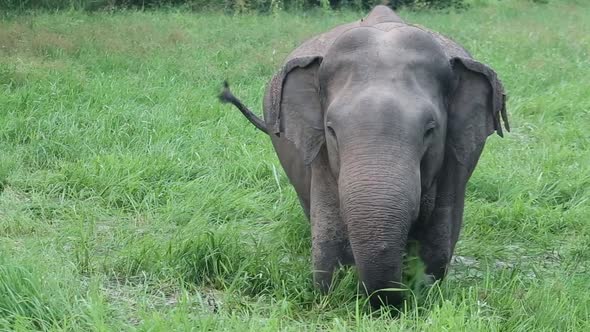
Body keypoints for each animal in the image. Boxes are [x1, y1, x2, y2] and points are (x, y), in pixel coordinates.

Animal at [220, 5, 512, 308]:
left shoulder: (455, 155)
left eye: (430, 130)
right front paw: (332, 296)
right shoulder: (320, 152)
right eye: (331, 129)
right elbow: (328, 230)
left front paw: (423, 293)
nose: (384, 303)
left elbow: (438, 236)